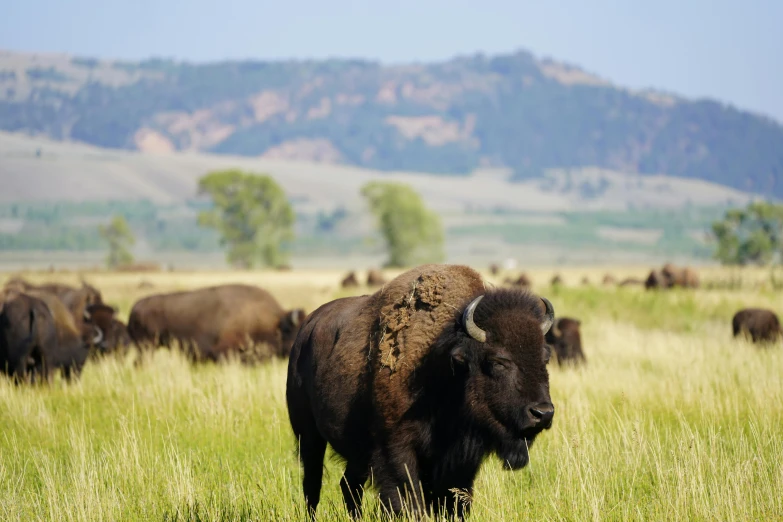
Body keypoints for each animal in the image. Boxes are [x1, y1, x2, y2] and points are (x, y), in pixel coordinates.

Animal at [288, 264, 556, 516]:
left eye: (545, 357)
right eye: (498, 361)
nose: (543, 413)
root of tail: (306, 330)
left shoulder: (460, 461)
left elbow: (454, 502)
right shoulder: (396, 451)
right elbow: (409, 500)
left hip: (356, 451)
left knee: (349, 484)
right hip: (308, 436)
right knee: (312, 482)